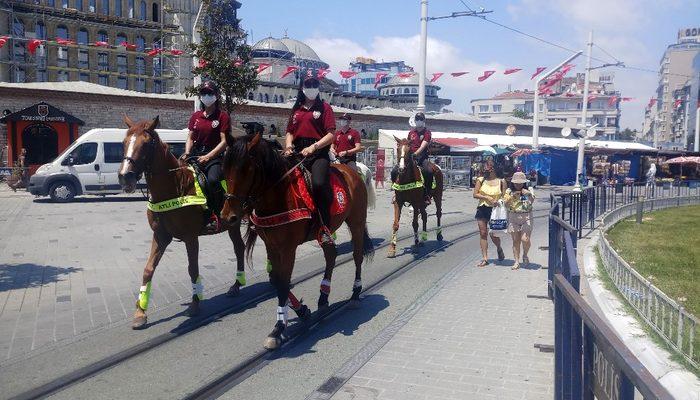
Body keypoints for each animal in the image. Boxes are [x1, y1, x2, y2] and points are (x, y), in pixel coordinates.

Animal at [115, 115, 246, 328]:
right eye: (124, 143)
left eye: (146, 144)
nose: (125, 177)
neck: (175, 188)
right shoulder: (160, 236)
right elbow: (148, 269)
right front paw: (140, 312)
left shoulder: (191, 237)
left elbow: (193, 269)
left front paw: (195, 303)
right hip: (232, 224)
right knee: (239, 248)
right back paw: (236, 285)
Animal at [221, 134, 374, 350]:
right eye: (225, 168)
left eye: (247, 169)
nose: (228, 217)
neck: (278, 196)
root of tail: (352, 172)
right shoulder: (271, 245)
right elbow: (276, 279)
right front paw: (301, 311)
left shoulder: (288, 248)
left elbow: (284, 281)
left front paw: (278, 328)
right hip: (324, 232)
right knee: (331, 256)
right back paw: (323, 296)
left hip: (357, 223)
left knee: (357, 255)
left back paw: (355, 294)